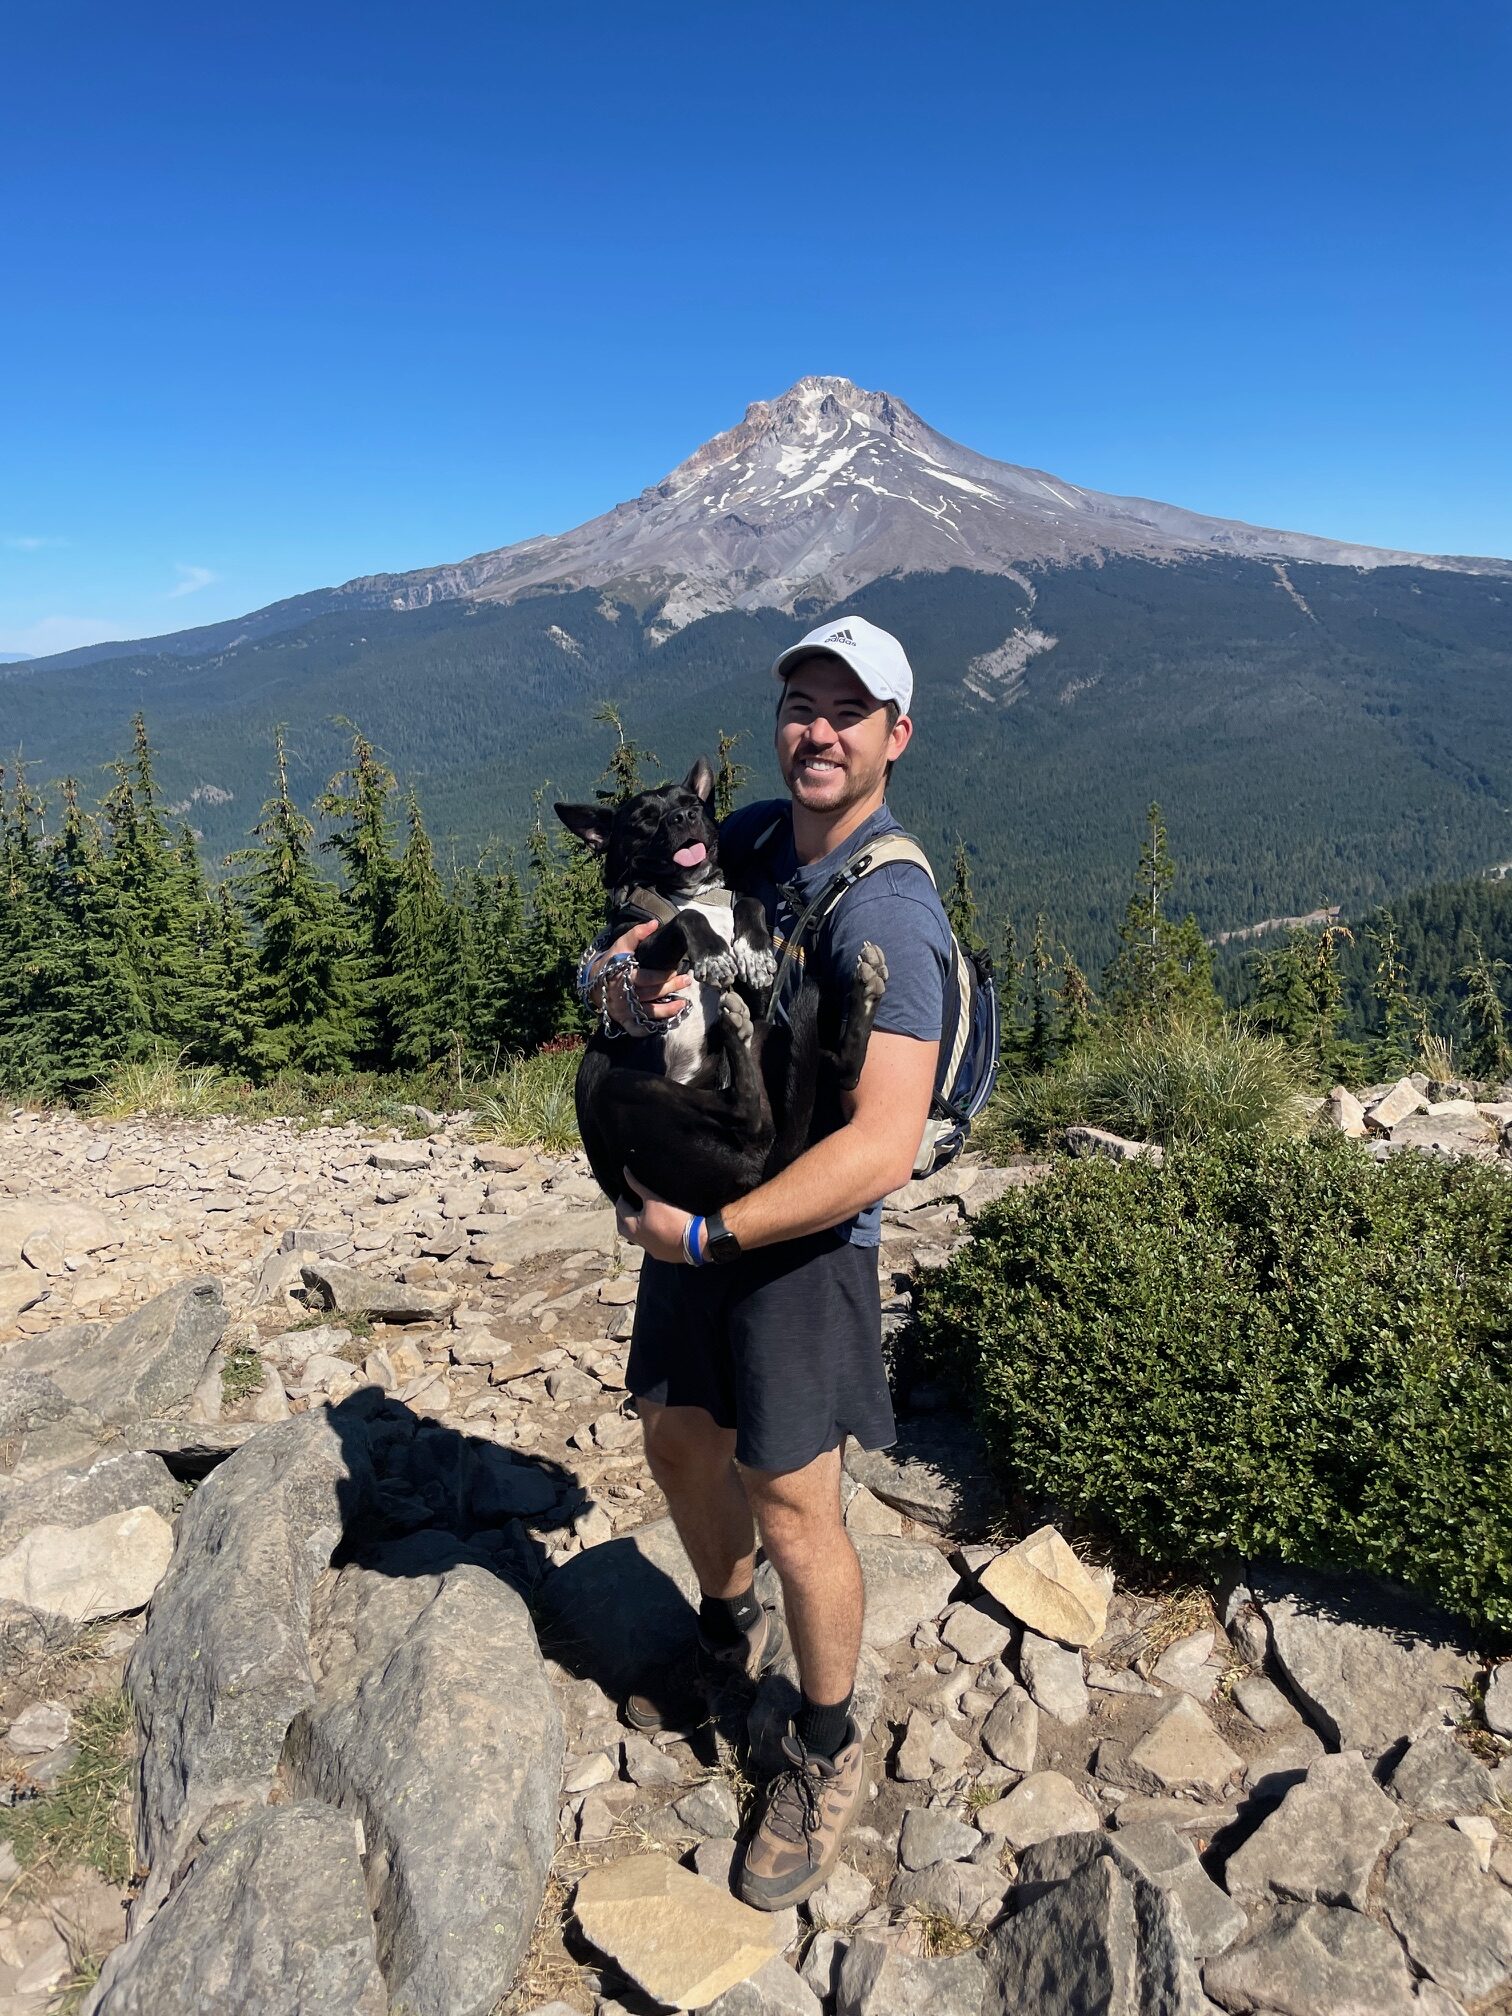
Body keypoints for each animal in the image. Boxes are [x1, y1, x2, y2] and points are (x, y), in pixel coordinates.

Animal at [556, 758, 887, 1209]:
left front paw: (754, 949)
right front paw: (713, 954)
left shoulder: (759, 995)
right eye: (644, 820)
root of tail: (758, 1172)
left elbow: (749, 901)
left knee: (838, 1074)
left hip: (773, 1035)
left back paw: (863, 990)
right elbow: (685, 918)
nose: (683, 817)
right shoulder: (642, 953)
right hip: (621, 1089)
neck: (691, 891)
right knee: (749, 1116)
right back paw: (739, 1030)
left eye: (693, 804)